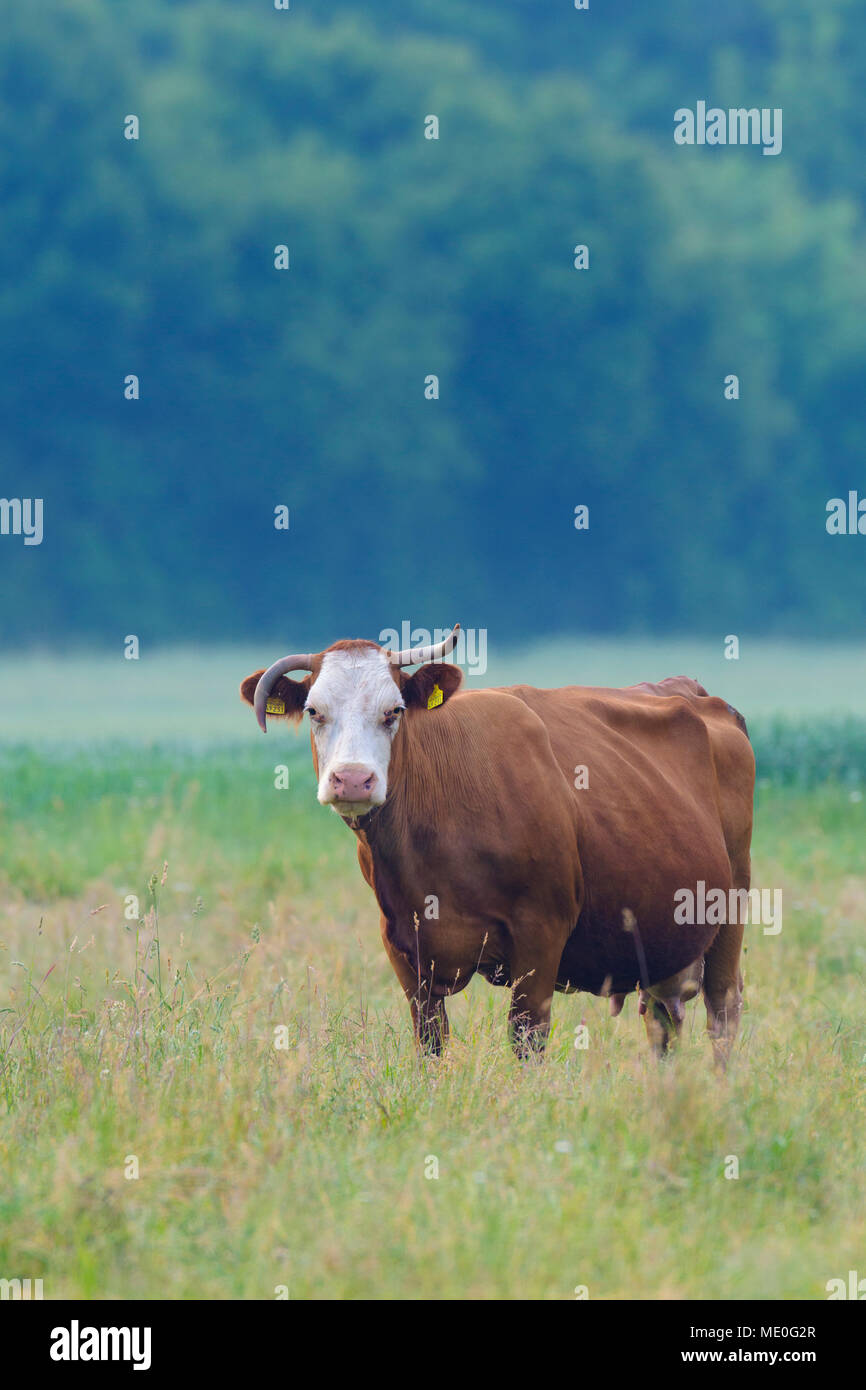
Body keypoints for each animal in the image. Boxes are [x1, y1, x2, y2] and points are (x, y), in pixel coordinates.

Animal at [241, 625, 755, 1065]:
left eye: (394, 711)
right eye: (314, 711)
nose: (351, 779)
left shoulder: (542, 934)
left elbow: (527, 1039)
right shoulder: (402, 944)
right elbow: (431, 1041)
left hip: (729, 908)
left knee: (723, 1012)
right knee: (664, 1022)